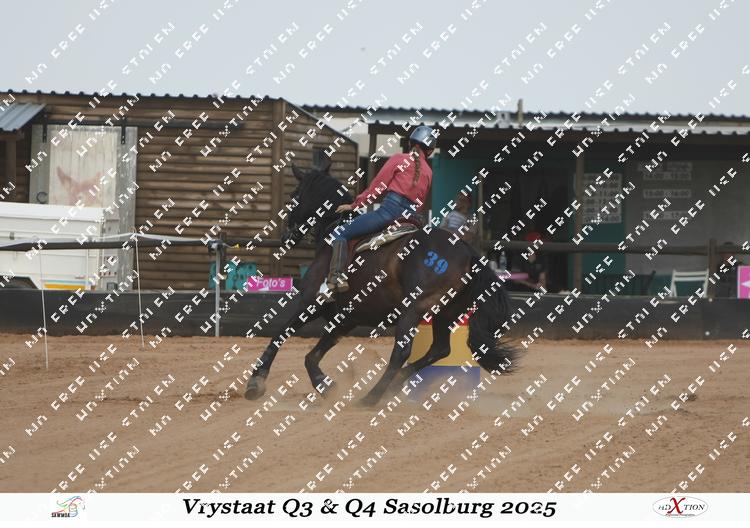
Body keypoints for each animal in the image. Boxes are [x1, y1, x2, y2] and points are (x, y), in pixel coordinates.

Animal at [243, 162, 517, 406]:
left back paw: (371, 397)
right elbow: (312, 355)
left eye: (294, 196)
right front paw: (325, 384)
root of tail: (468, 253)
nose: (286, 235)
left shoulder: (311, 303)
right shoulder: (345, 319)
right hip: (445, 314)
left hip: (413, 309)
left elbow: (279, 335)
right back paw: (395, 385)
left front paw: (256, 383)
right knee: (439, 350)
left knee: (402, 352)